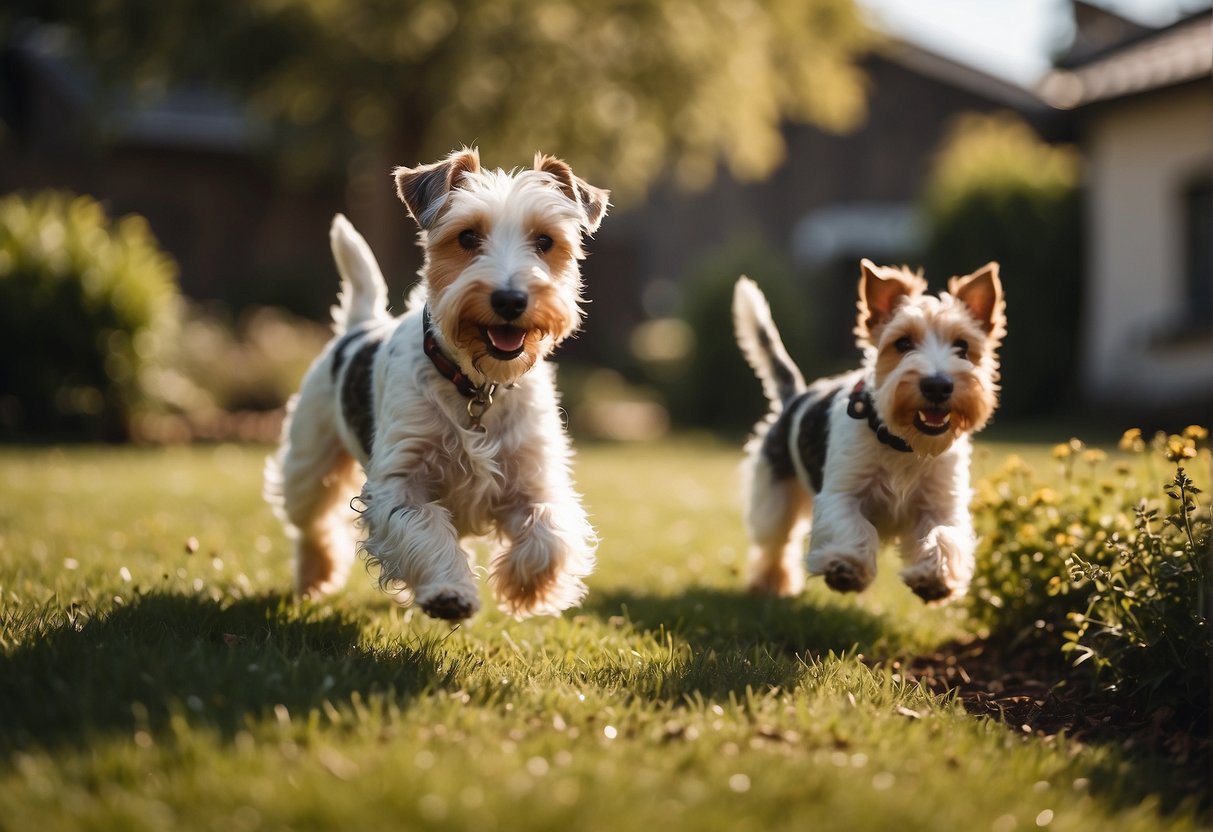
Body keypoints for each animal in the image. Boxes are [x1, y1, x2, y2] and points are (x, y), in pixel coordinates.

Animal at [265, 146, 606, 620]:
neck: (477, 385)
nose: (510, 299)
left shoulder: (532, 479)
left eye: (544, 241)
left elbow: (548, 534)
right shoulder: (400, 482)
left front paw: (526, 586)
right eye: (467, 237)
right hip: (310, 464)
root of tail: (361, 324)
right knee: (313, 523)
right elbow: (424, 530)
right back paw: (315, 577)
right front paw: (449, 591)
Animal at [727, 261, 1004, 606]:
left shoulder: (941, 504)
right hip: (774, 498)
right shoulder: (842, 492)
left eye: (962, 347)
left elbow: (943, 536)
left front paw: (935, 578)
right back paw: (771, 584)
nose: (938, 385)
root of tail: (794, 398)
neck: (903, 443)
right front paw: (846, 566)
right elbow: (853, 526)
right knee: (776, 543)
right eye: (903, 343)